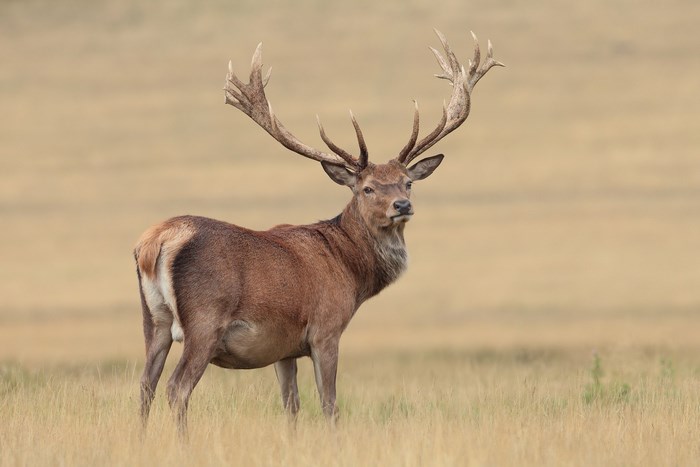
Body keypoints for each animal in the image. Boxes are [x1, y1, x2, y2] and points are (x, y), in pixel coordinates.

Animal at [134, 30, 502, 437]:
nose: (402, 206)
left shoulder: (283, 347)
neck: (351, 271)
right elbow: (329, 403)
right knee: (177, 388)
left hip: (154, 320)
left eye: (408, 182)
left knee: (146, 385)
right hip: (204, 321)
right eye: (367, 188)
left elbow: (291, 405)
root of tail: (158, 241)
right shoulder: (326, 329)